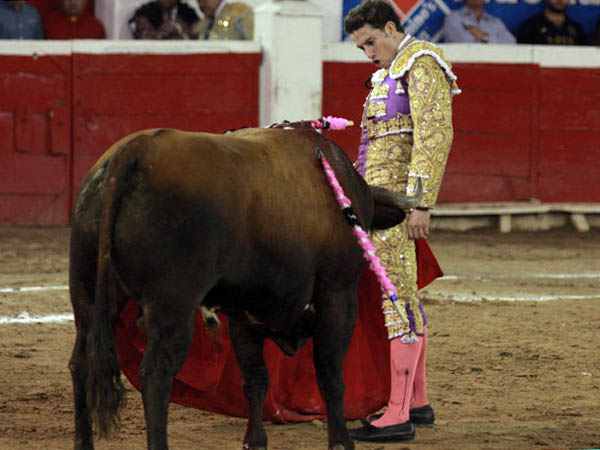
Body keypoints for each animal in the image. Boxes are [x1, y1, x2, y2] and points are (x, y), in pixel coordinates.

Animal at [68, 123, 421, 450]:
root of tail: (135, 150)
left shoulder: (244, 315)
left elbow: (255, 379)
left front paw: (255, 440)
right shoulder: (339, 299)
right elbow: (330, 374)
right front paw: (341, 442)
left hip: (87, 294)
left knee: (82, 363)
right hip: (173, 306)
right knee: (156, 373)